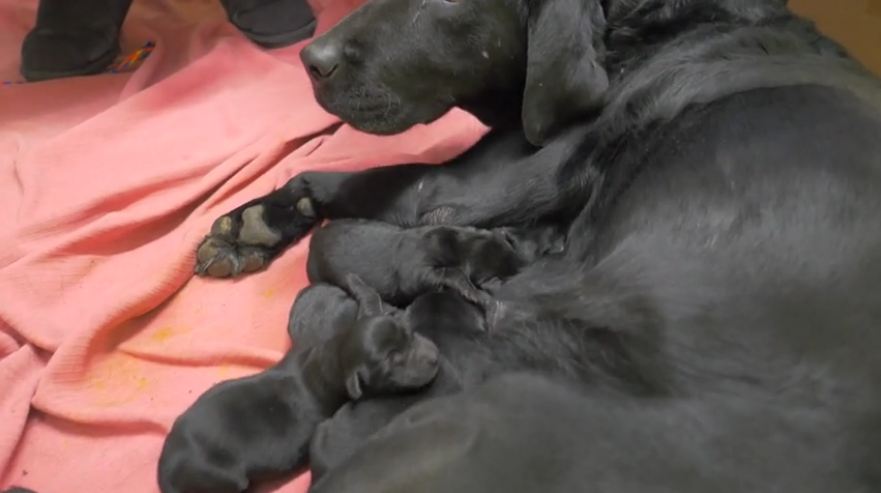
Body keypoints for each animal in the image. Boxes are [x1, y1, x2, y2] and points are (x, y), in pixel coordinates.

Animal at [158, 274, 440, 490]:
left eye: (409, 333)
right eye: (393, 361)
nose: (435, 357)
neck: (332, 355)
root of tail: (164, 470)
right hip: (225, 479)